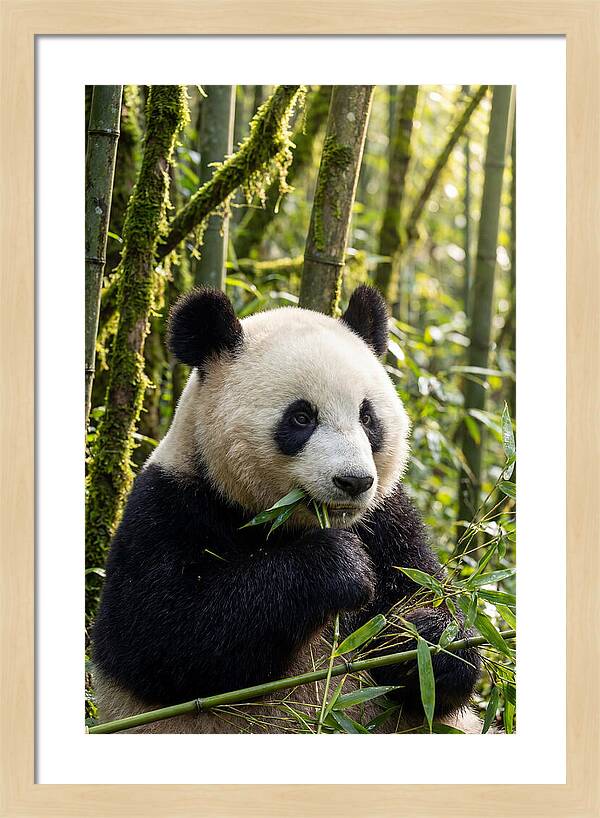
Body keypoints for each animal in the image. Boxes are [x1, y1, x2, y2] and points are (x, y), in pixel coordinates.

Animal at [92, 285, 481, 734]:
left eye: (367, 418)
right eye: (301, 417)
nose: (353, 482)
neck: (284, 520)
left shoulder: (388, 520)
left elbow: (430, 606)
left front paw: (426, 640)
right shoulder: (168, 507)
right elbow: (164, 636)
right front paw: (339, 566)